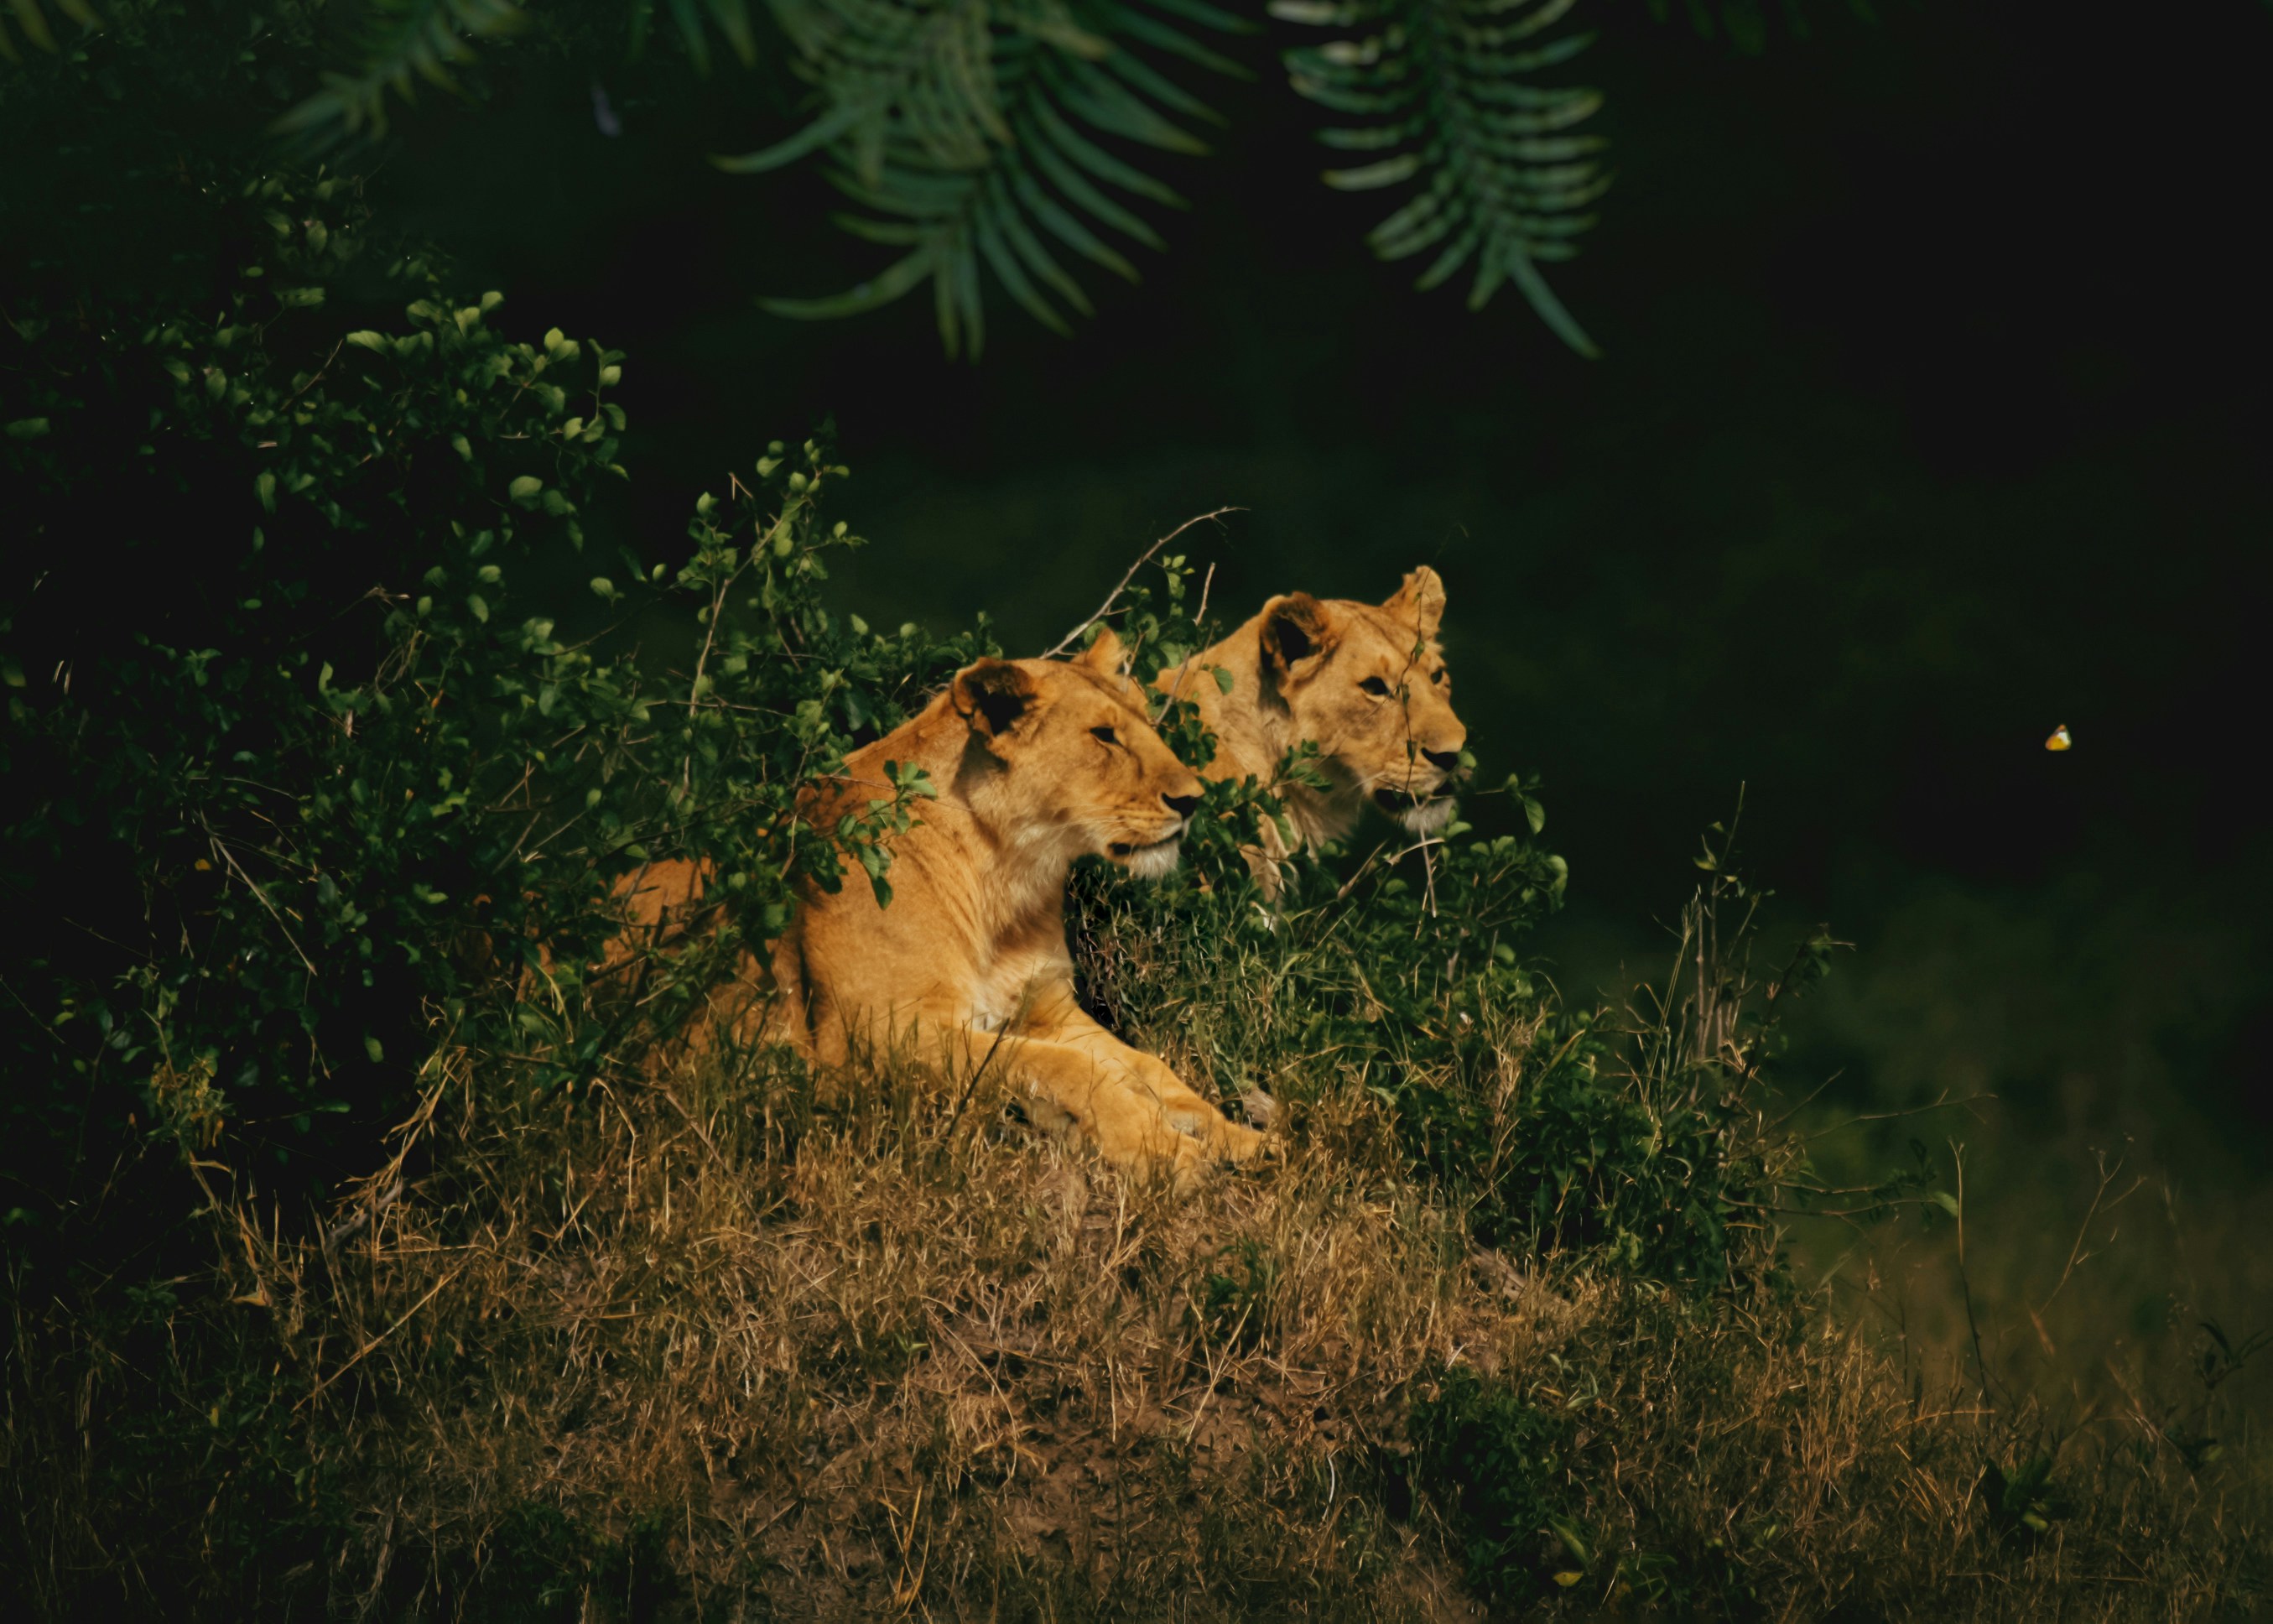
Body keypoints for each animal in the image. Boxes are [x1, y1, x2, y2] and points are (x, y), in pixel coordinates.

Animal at [609, 629, 1267, 1186]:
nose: (1193, 800)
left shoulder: (1048, 1008)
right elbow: (1069, 1069)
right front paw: (1166, 1152)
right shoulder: (881, 1039)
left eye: (1147, 724)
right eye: (1103, 736)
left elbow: (1150, 1069)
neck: (1006, 874)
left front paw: (1241, 1139)